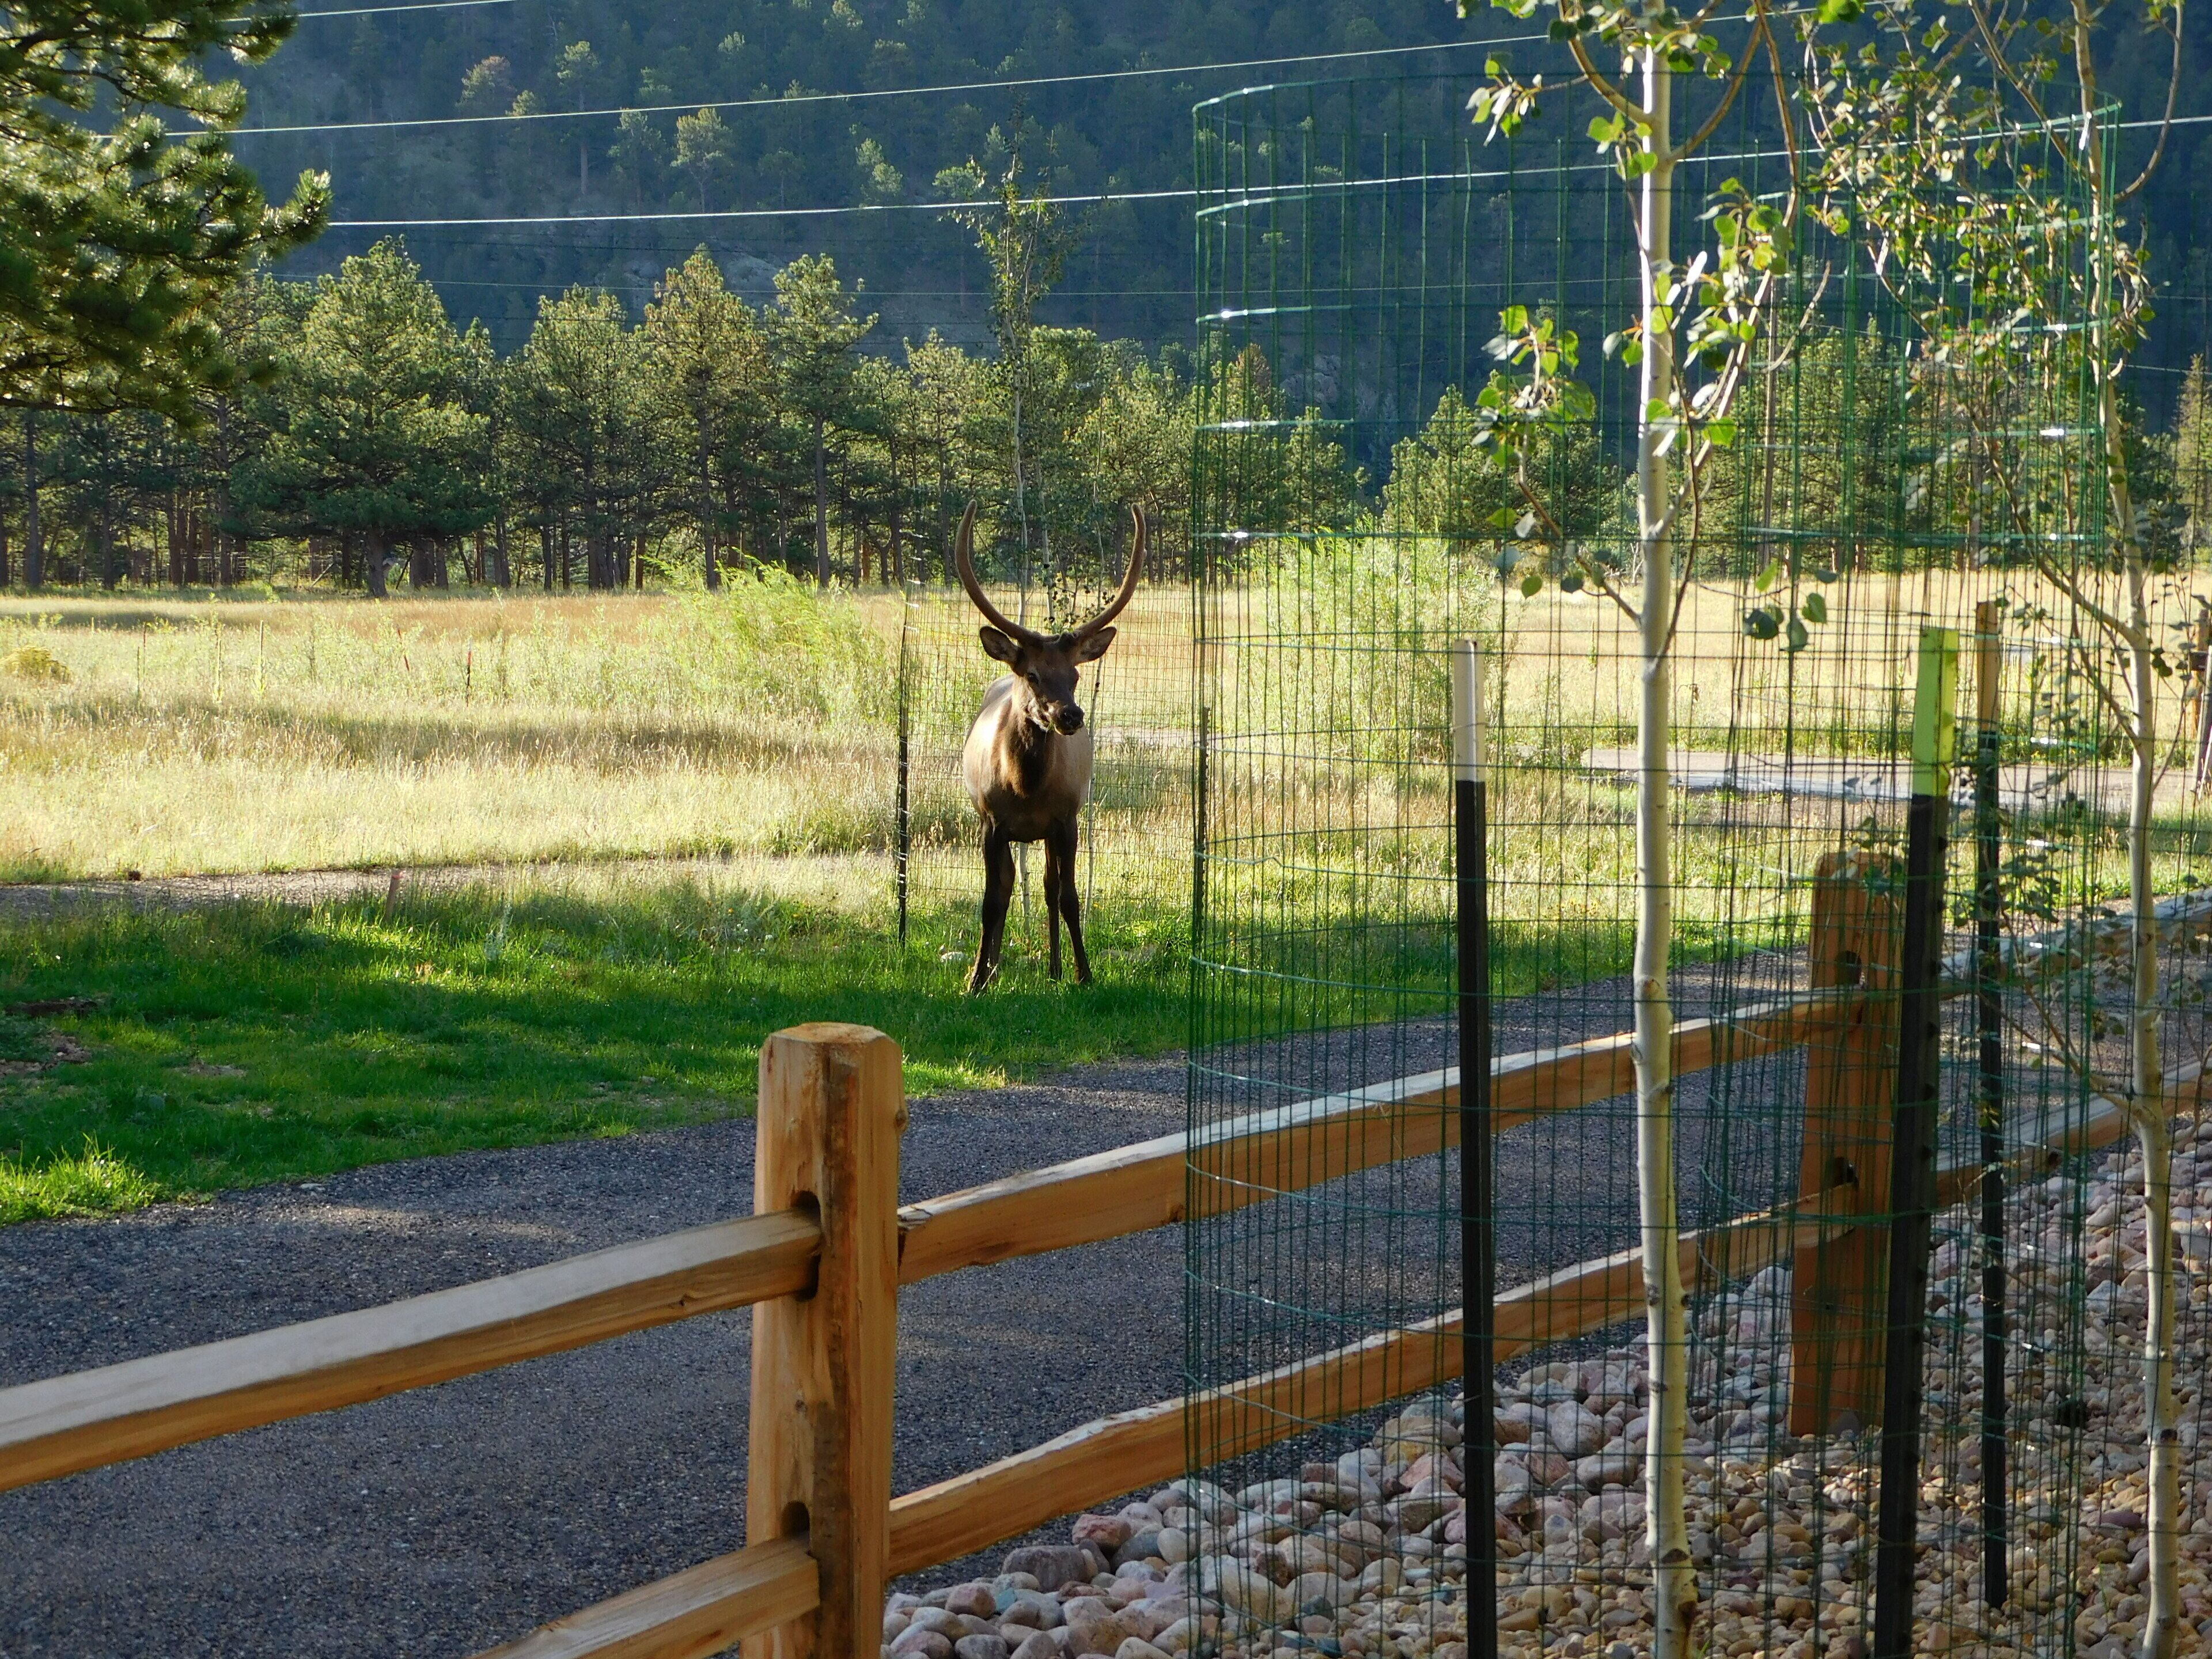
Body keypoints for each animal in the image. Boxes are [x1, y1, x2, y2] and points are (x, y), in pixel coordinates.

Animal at [953, 499, 1146, 994]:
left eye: (1074, 674)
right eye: (1033, 674)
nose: (1070, 716)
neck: (1025, 788)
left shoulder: (1065, 819)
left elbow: (1069, 896)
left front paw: (1084, 973)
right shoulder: (992, 822)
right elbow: (990, 901)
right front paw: (976, 982)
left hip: (1047, 833)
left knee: (1046, 886)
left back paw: (1054, 968)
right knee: (1007, 888)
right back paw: (992, 967)